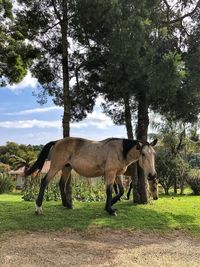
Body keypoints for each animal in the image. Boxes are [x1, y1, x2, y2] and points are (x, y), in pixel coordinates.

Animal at [25, 137, 157, 217]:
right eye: (143, 154)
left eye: (154, 154)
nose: (152, 175)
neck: (121, 151)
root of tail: (57, 141)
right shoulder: (110, 173)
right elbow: (109, 191)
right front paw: (109, 209)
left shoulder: (117, 174)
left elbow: (121, 191)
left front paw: (111, 204)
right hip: (56, 166)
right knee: (44, 181)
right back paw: (38, 208)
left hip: (67, 168)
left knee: (61, 184)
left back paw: (67, 205)